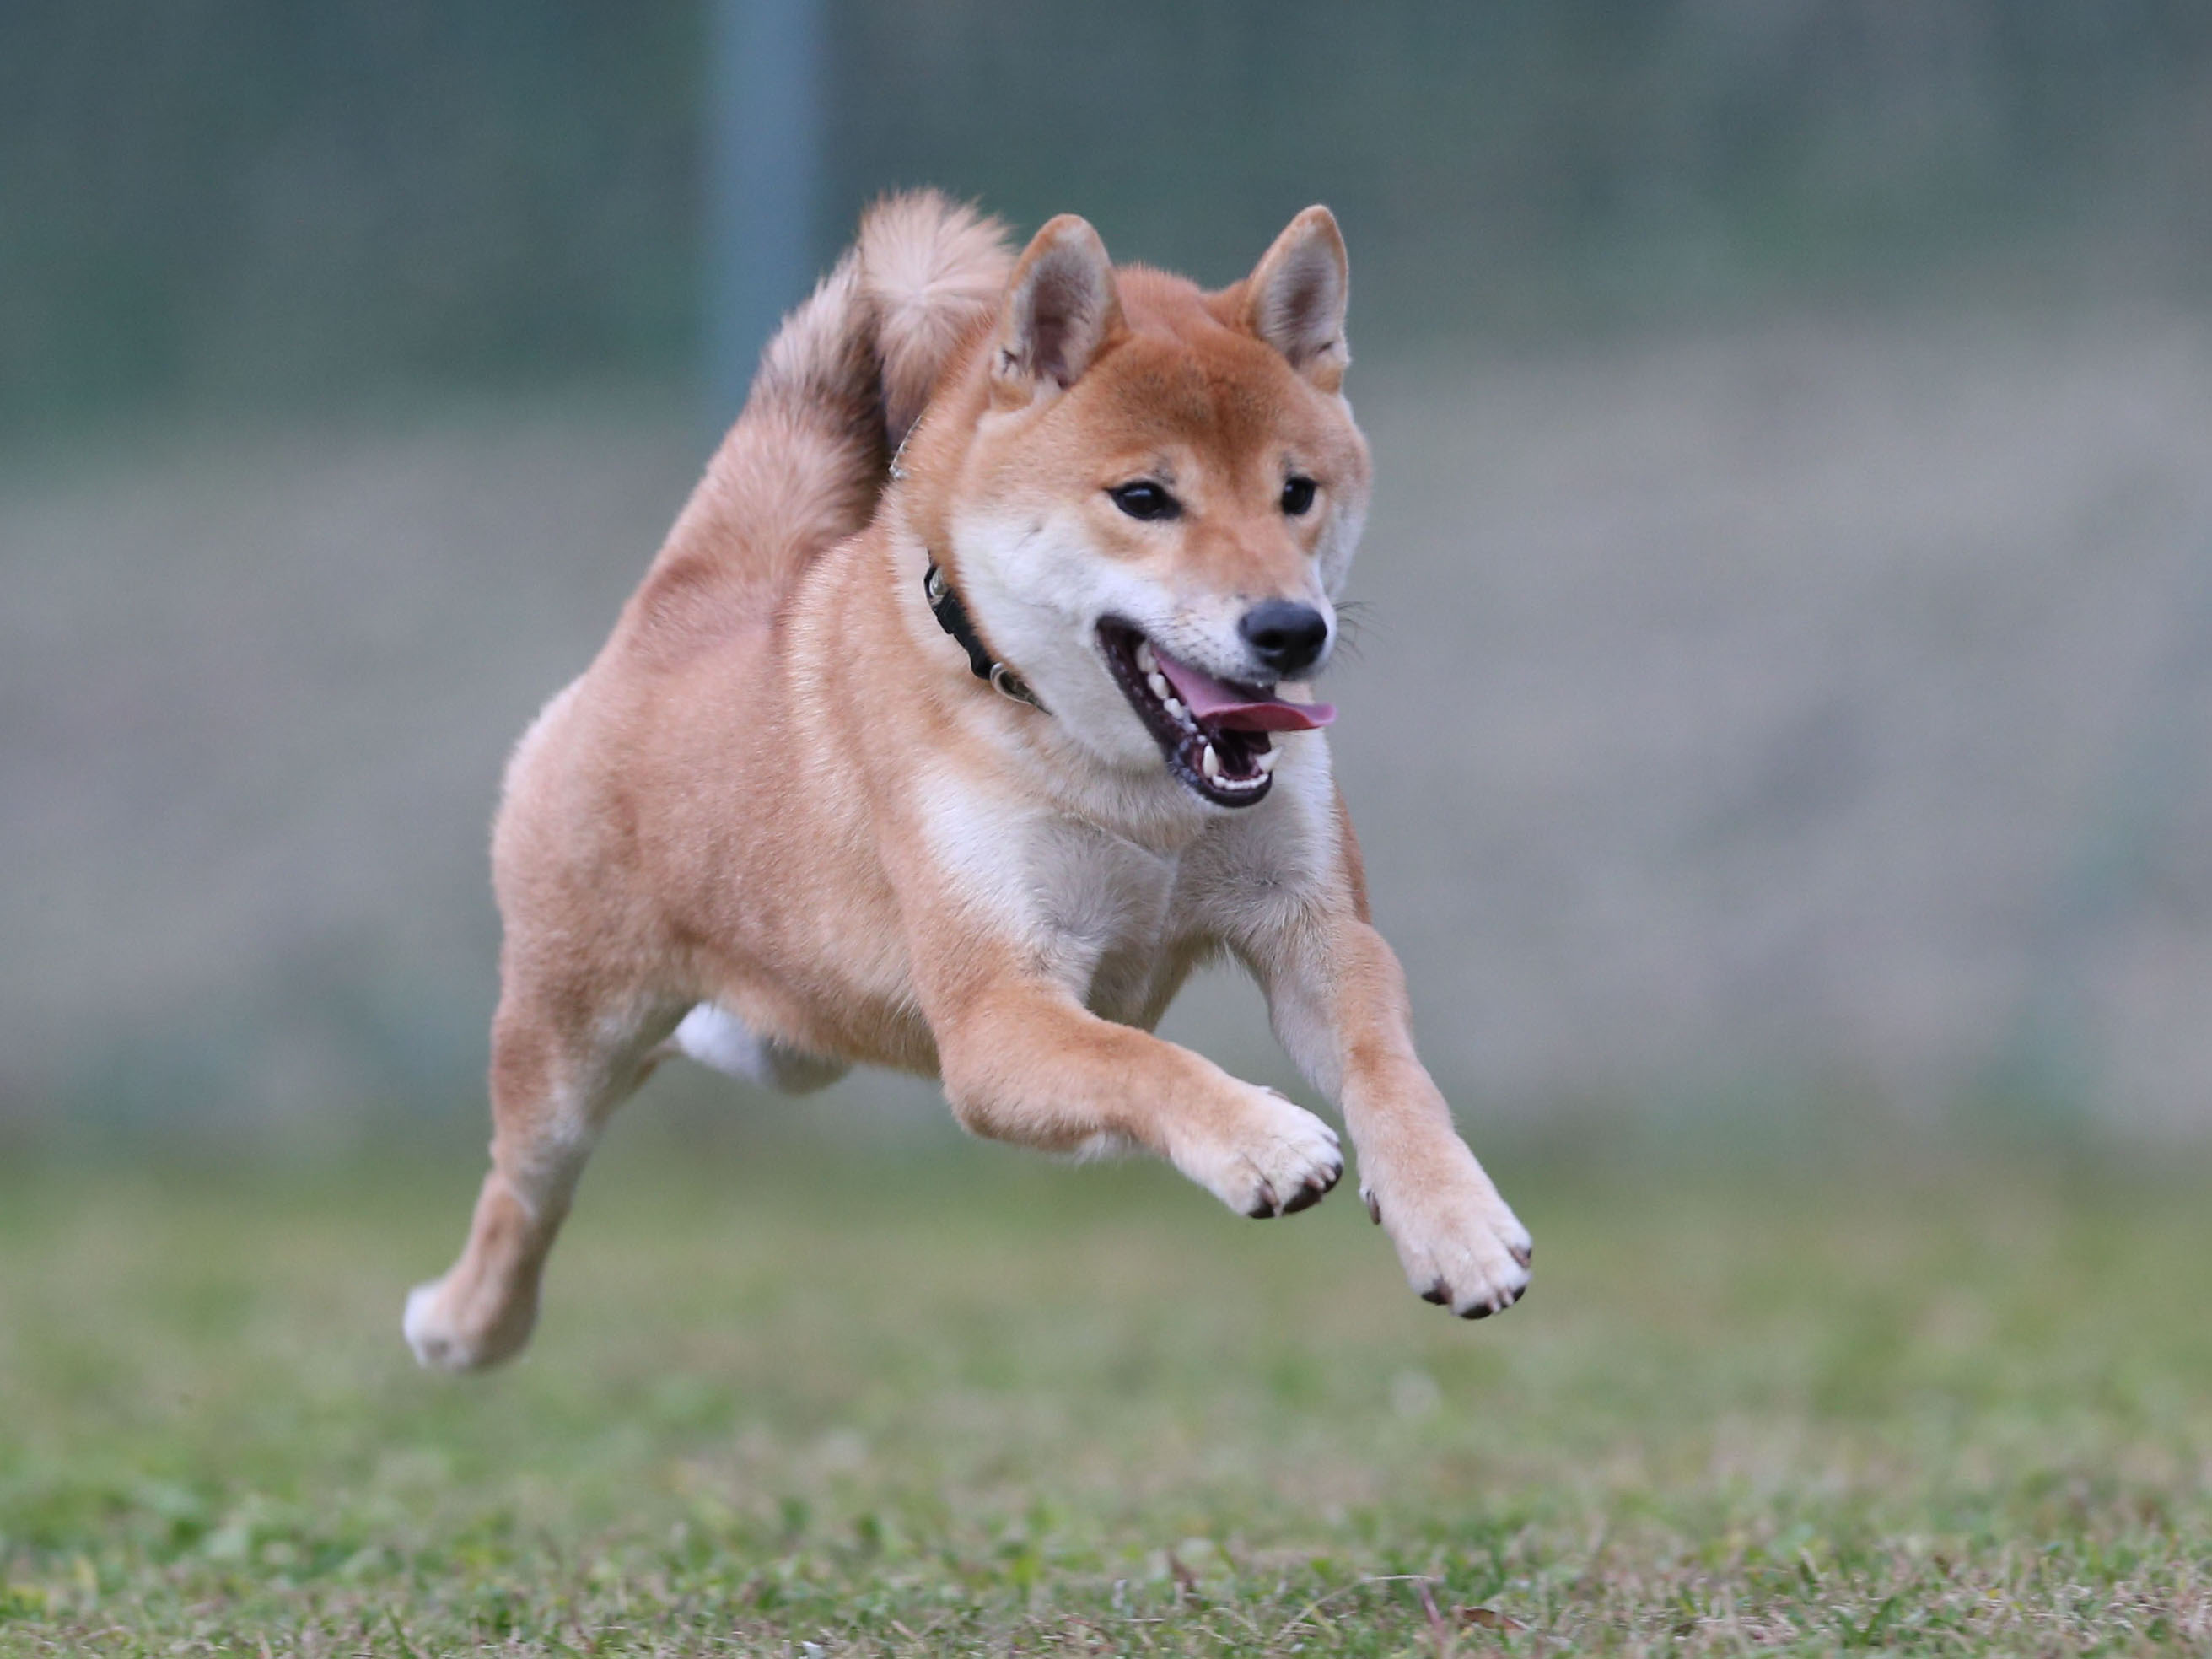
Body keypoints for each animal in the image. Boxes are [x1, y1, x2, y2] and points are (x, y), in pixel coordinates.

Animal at [406, 187, 1531, 1371]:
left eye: (1296, 493)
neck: (1125, 785)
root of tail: (680, 615)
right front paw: (1262, 1139)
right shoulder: (995, 1019)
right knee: (521, 1191)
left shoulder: (1315, 927)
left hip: (789, 1039)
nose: (1289, 629)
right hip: (564, 1055)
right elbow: (1144, 1060)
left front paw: (1455, 1223)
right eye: (1143, 496)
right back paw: (460, 1323)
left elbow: (1388, 1073)